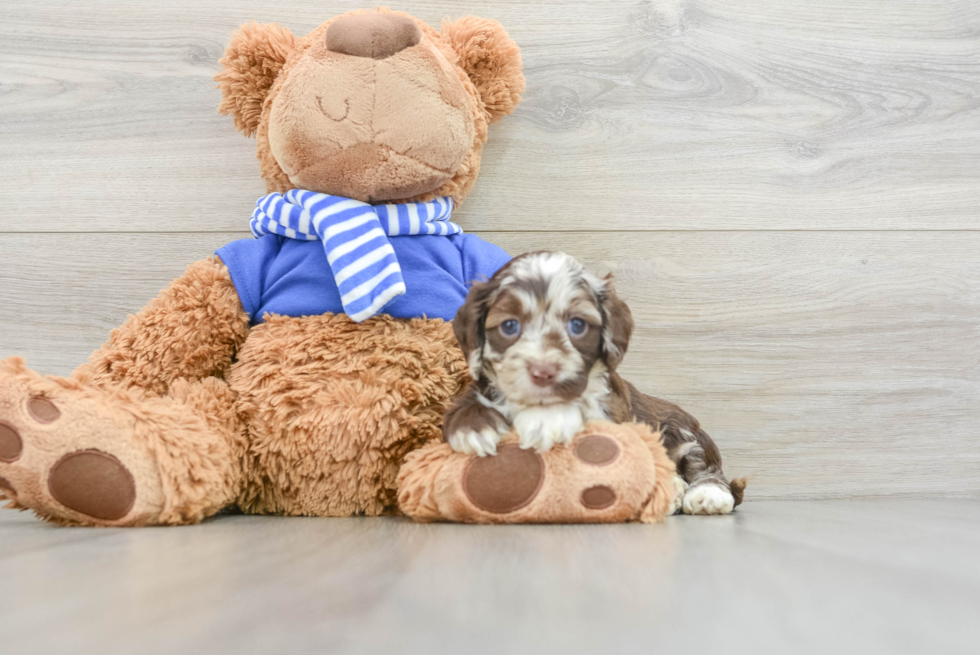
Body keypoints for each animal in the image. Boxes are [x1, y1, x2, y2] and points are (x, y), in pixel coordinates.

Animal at [444, 254, 744, 516]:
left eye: (577, 325)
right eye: (509, 326)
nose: (544, 371)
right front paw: (475, 430)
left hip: (686, 431)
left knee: (704, 465)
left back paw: (707, 495)